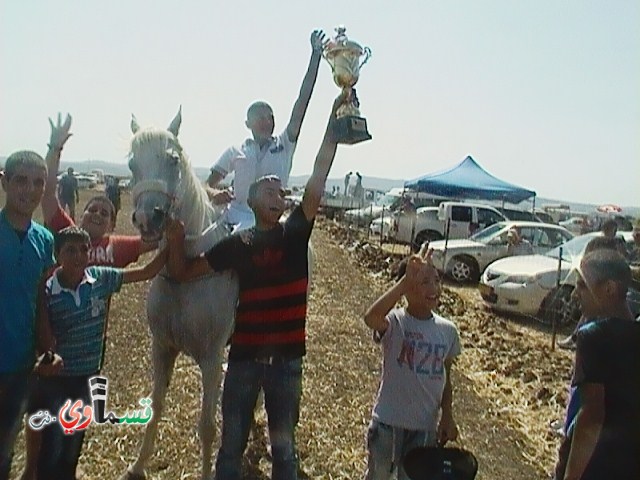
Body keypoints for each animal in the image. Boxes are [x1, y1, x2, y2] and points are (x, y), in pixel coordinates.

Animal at [121, 109, 239, 480]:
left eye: (173, 159)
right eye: (131, 164)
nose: (148, 218)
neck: (188, 272)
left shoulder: (211, 359)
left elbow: (207, 427)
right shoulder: (162, 347)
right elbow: (156, 407)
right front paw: (138, 465)